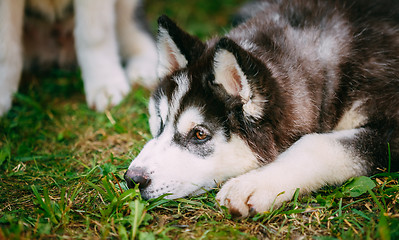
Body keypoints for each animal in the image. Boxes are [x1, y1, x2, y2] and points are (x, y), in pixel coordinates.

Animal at [0, 0, 159, 115]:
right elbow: (5, 46)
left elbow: (94, 34)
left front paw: (104, 85)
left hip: (129, 7)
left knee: (137, 29)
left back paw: (146, 69)